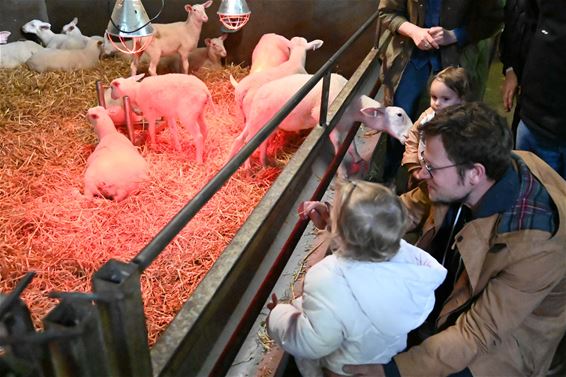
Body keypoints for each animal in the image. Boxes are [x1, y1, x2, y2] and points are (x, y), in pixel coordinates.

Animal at [230, 72, 412, 170]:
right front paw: (340, 166)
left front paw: (358, 159)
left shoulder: (346, 126)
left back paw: (264, 163)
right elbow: (338, 145)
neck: (352, 104)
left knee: (255, 142)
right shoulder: (327, 121)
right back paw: (248, 166)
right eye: (399, 115)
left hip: (263, 125)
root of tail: (253, 94)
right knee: (245, 141)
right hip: (257, 122)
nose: (410, 136)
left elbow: (351, 145)